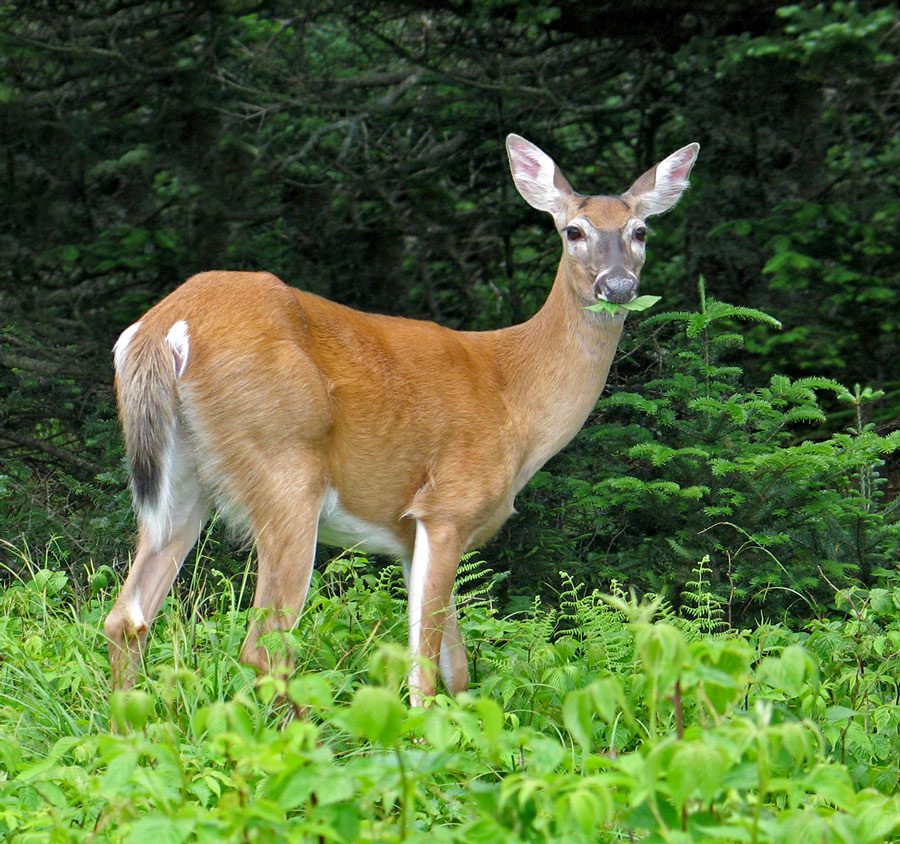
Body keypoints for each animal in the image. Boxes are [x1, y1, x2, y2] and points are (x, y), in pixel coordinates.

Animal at [103, 134, 696, 700]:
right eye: (574, 231)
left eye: (641, 231)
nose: (616, 286)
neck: (514, 398)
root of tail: (165, 327)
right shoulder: (448, 505)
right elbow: (425, 673)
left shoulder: (413, 533)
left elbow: (458, 671)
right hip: (284, 466)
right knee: (264, 646)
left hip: (182, 480)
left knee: (126, 618)